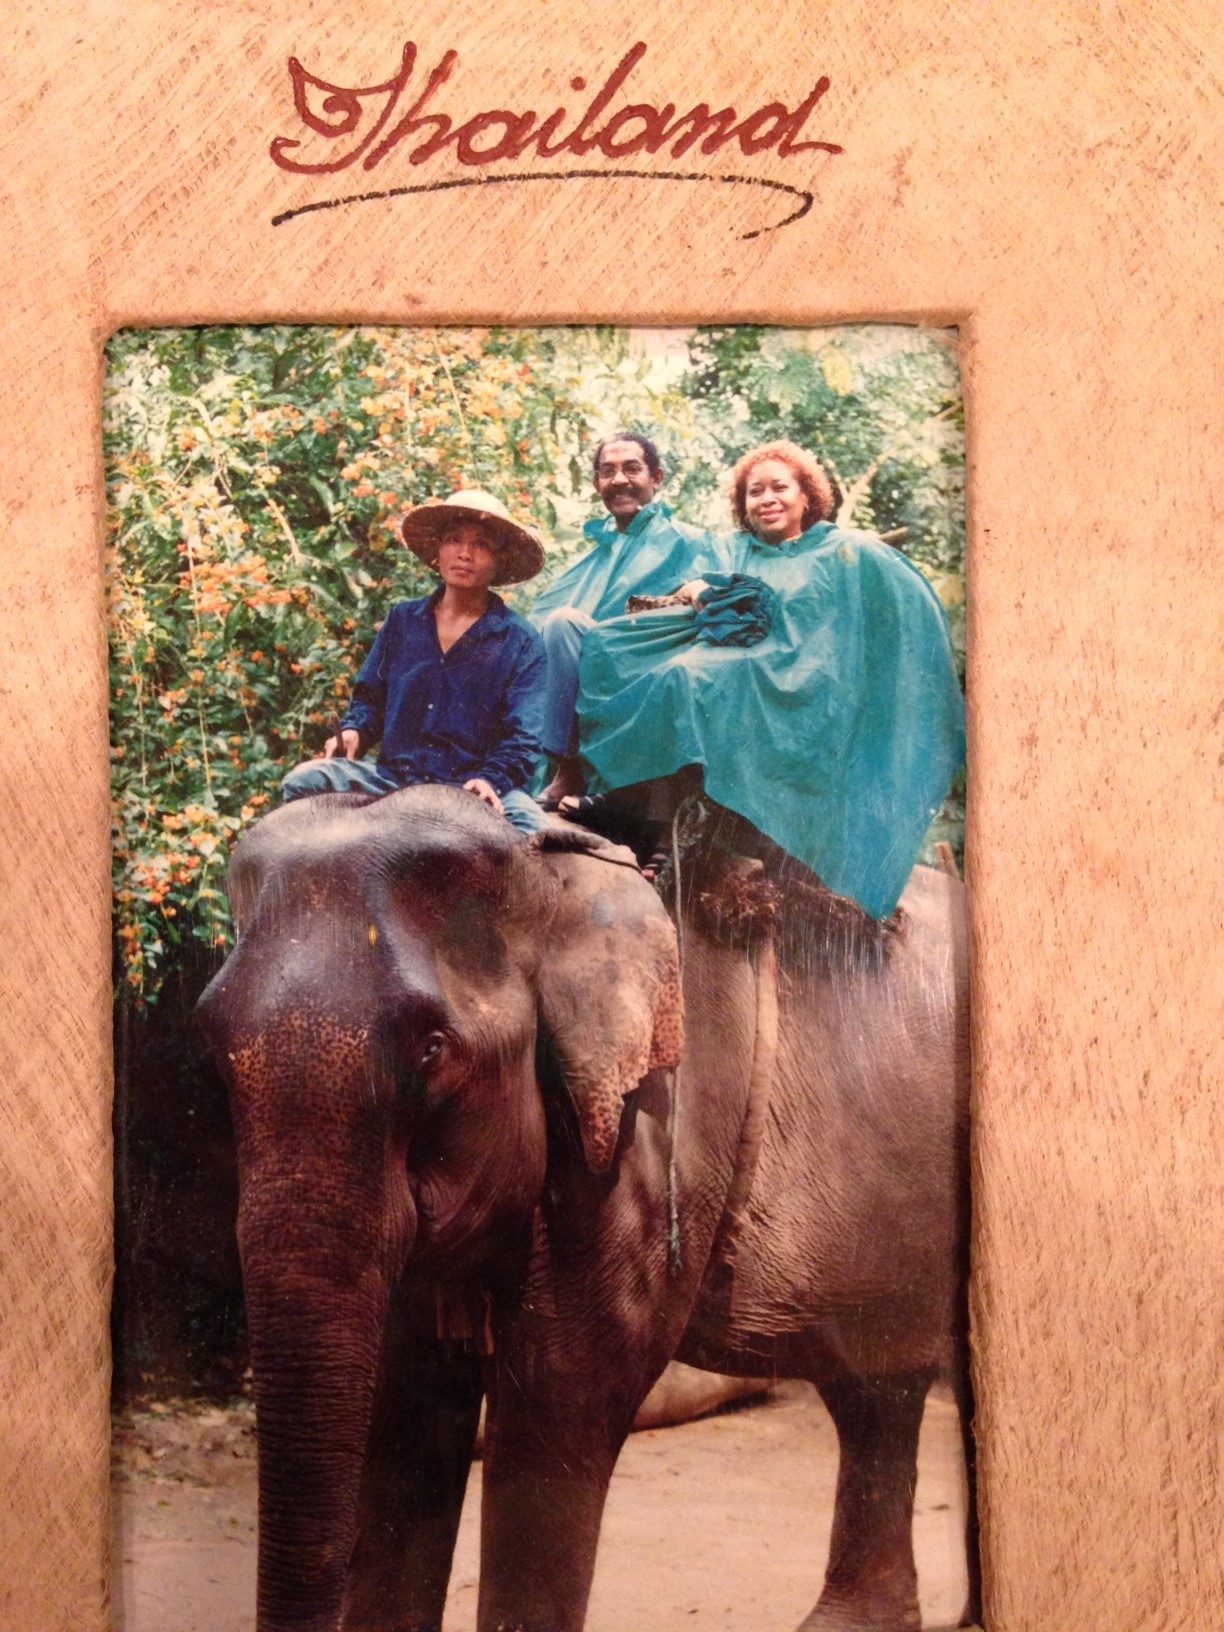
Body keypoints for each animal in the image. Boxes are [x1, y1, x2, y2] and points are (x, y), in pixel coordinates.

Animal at [196, 783, 979, 1625]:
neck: (555, 879)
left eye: (433, 1049)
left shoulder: (649, 1127)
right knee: (879, 1387)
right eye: (213, 1043)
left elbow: (556, 1402)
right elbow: (411, 1402)